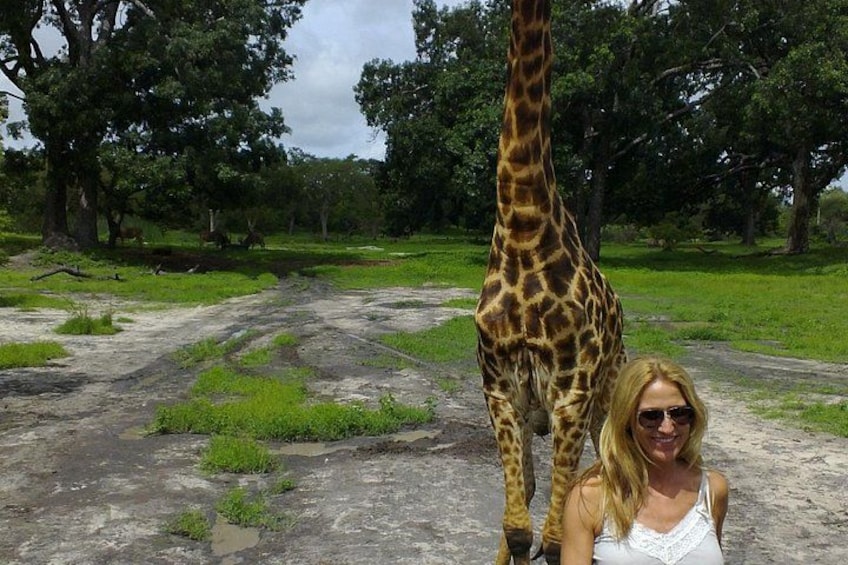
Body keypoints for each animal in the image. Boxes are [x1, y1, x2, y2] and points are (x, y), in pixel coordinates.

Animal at [474, 1, 626, 563]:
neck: (523, 227)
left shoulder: (571, 392)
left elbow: (557, 539)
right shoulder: (500, 388)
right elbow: (519, 526)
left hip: (605, 396)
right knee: (532, 493)